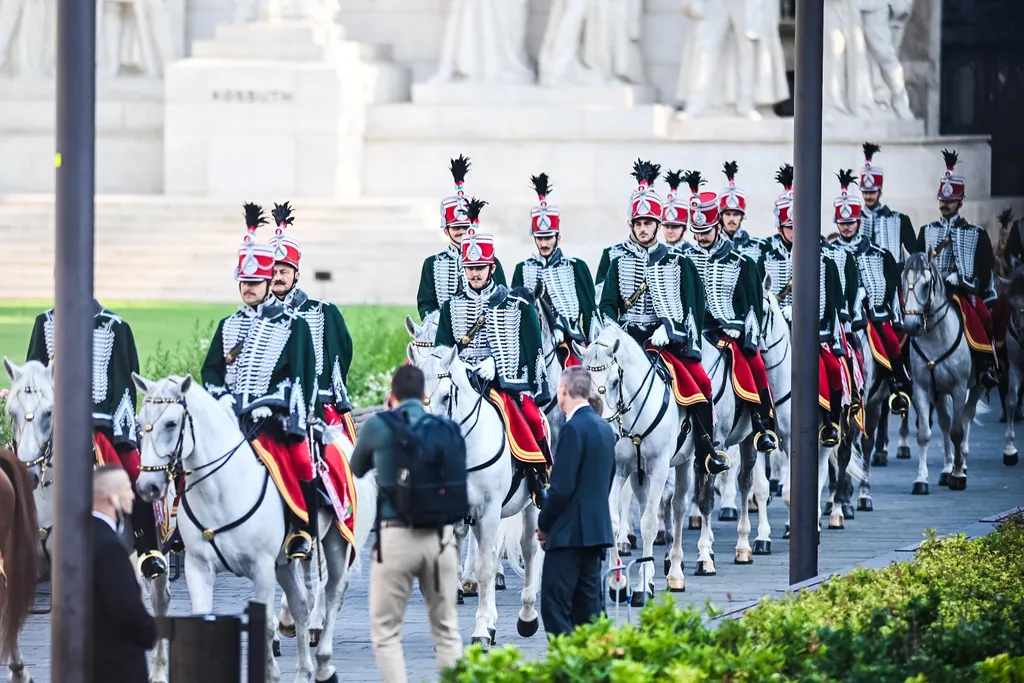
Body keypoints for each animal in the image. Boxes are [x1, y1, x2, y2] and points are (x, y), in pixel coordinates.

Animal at [1, 358, 172, 683]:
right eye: (11, 412)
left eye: (49, 412)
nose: (28, 476)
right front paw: (19, 670)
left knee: (159, 599)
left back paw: (157, 670)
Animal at [132, 374, 378, 683]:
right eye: (140, 422)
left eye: (171, 423)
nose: (147, 487)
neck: (221, 490)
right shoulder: (198, 567)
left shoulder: (261, 568)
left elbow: (266, 626)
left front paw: (270, 672)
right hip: (283, 561)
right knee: (300, 603)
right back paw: (303, 670)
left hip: (337, 543)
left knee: (333, 591)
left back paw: (323, 663)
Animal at [413, 348, 548, 647]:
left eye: (446, 396)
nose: (425, 447)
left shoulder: (489, 511)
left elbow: (485, 568)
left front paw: (480, 631)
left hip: (529, 507)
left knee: (529, 548)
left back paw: (527, 616)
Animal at [905, 253, 983, 493]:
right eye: (902, 281)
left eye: (926, 285)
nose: (910, 326)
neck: (935, 337)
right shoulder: (923, 388)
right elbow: (924, 434)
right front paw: (921, 479)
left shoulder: (959, 387)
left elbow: (958, 431)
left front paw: (958, 476)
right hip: (938, 393)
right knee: (945, 422)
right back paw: (947, 468)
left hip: (977, 385)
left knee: (966, 417)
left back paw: (961, 464)